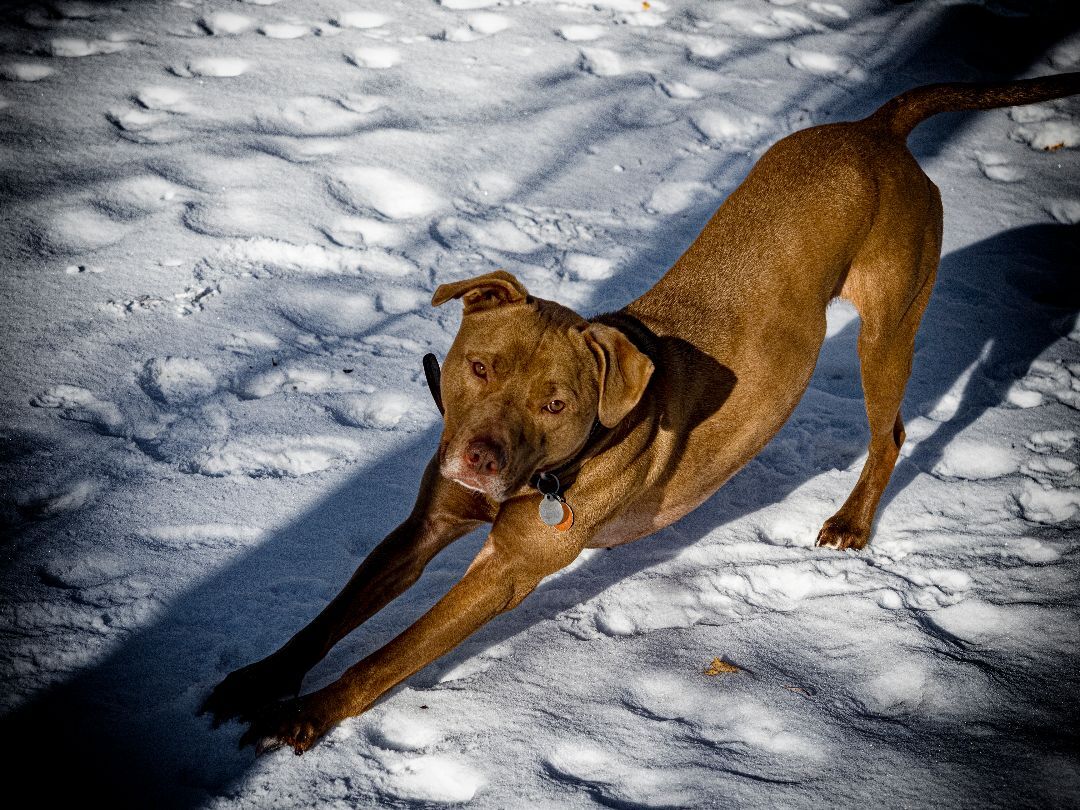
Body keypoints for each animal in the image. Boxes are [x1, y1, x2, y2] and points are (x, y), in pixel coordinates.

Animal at [203, 72, 1080, 760]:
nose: (480, 456)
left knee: (889, 431)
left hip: (886, 328)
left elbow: (388, 656)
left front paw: (303, 718)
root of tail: (876, 130)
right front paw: (255, 681)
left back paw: (851, 522)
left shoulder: (506, 571)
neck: (550, 471)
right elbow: (331, 617)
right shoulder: (426, 522)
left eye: (555, 404)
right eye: (479, 368)